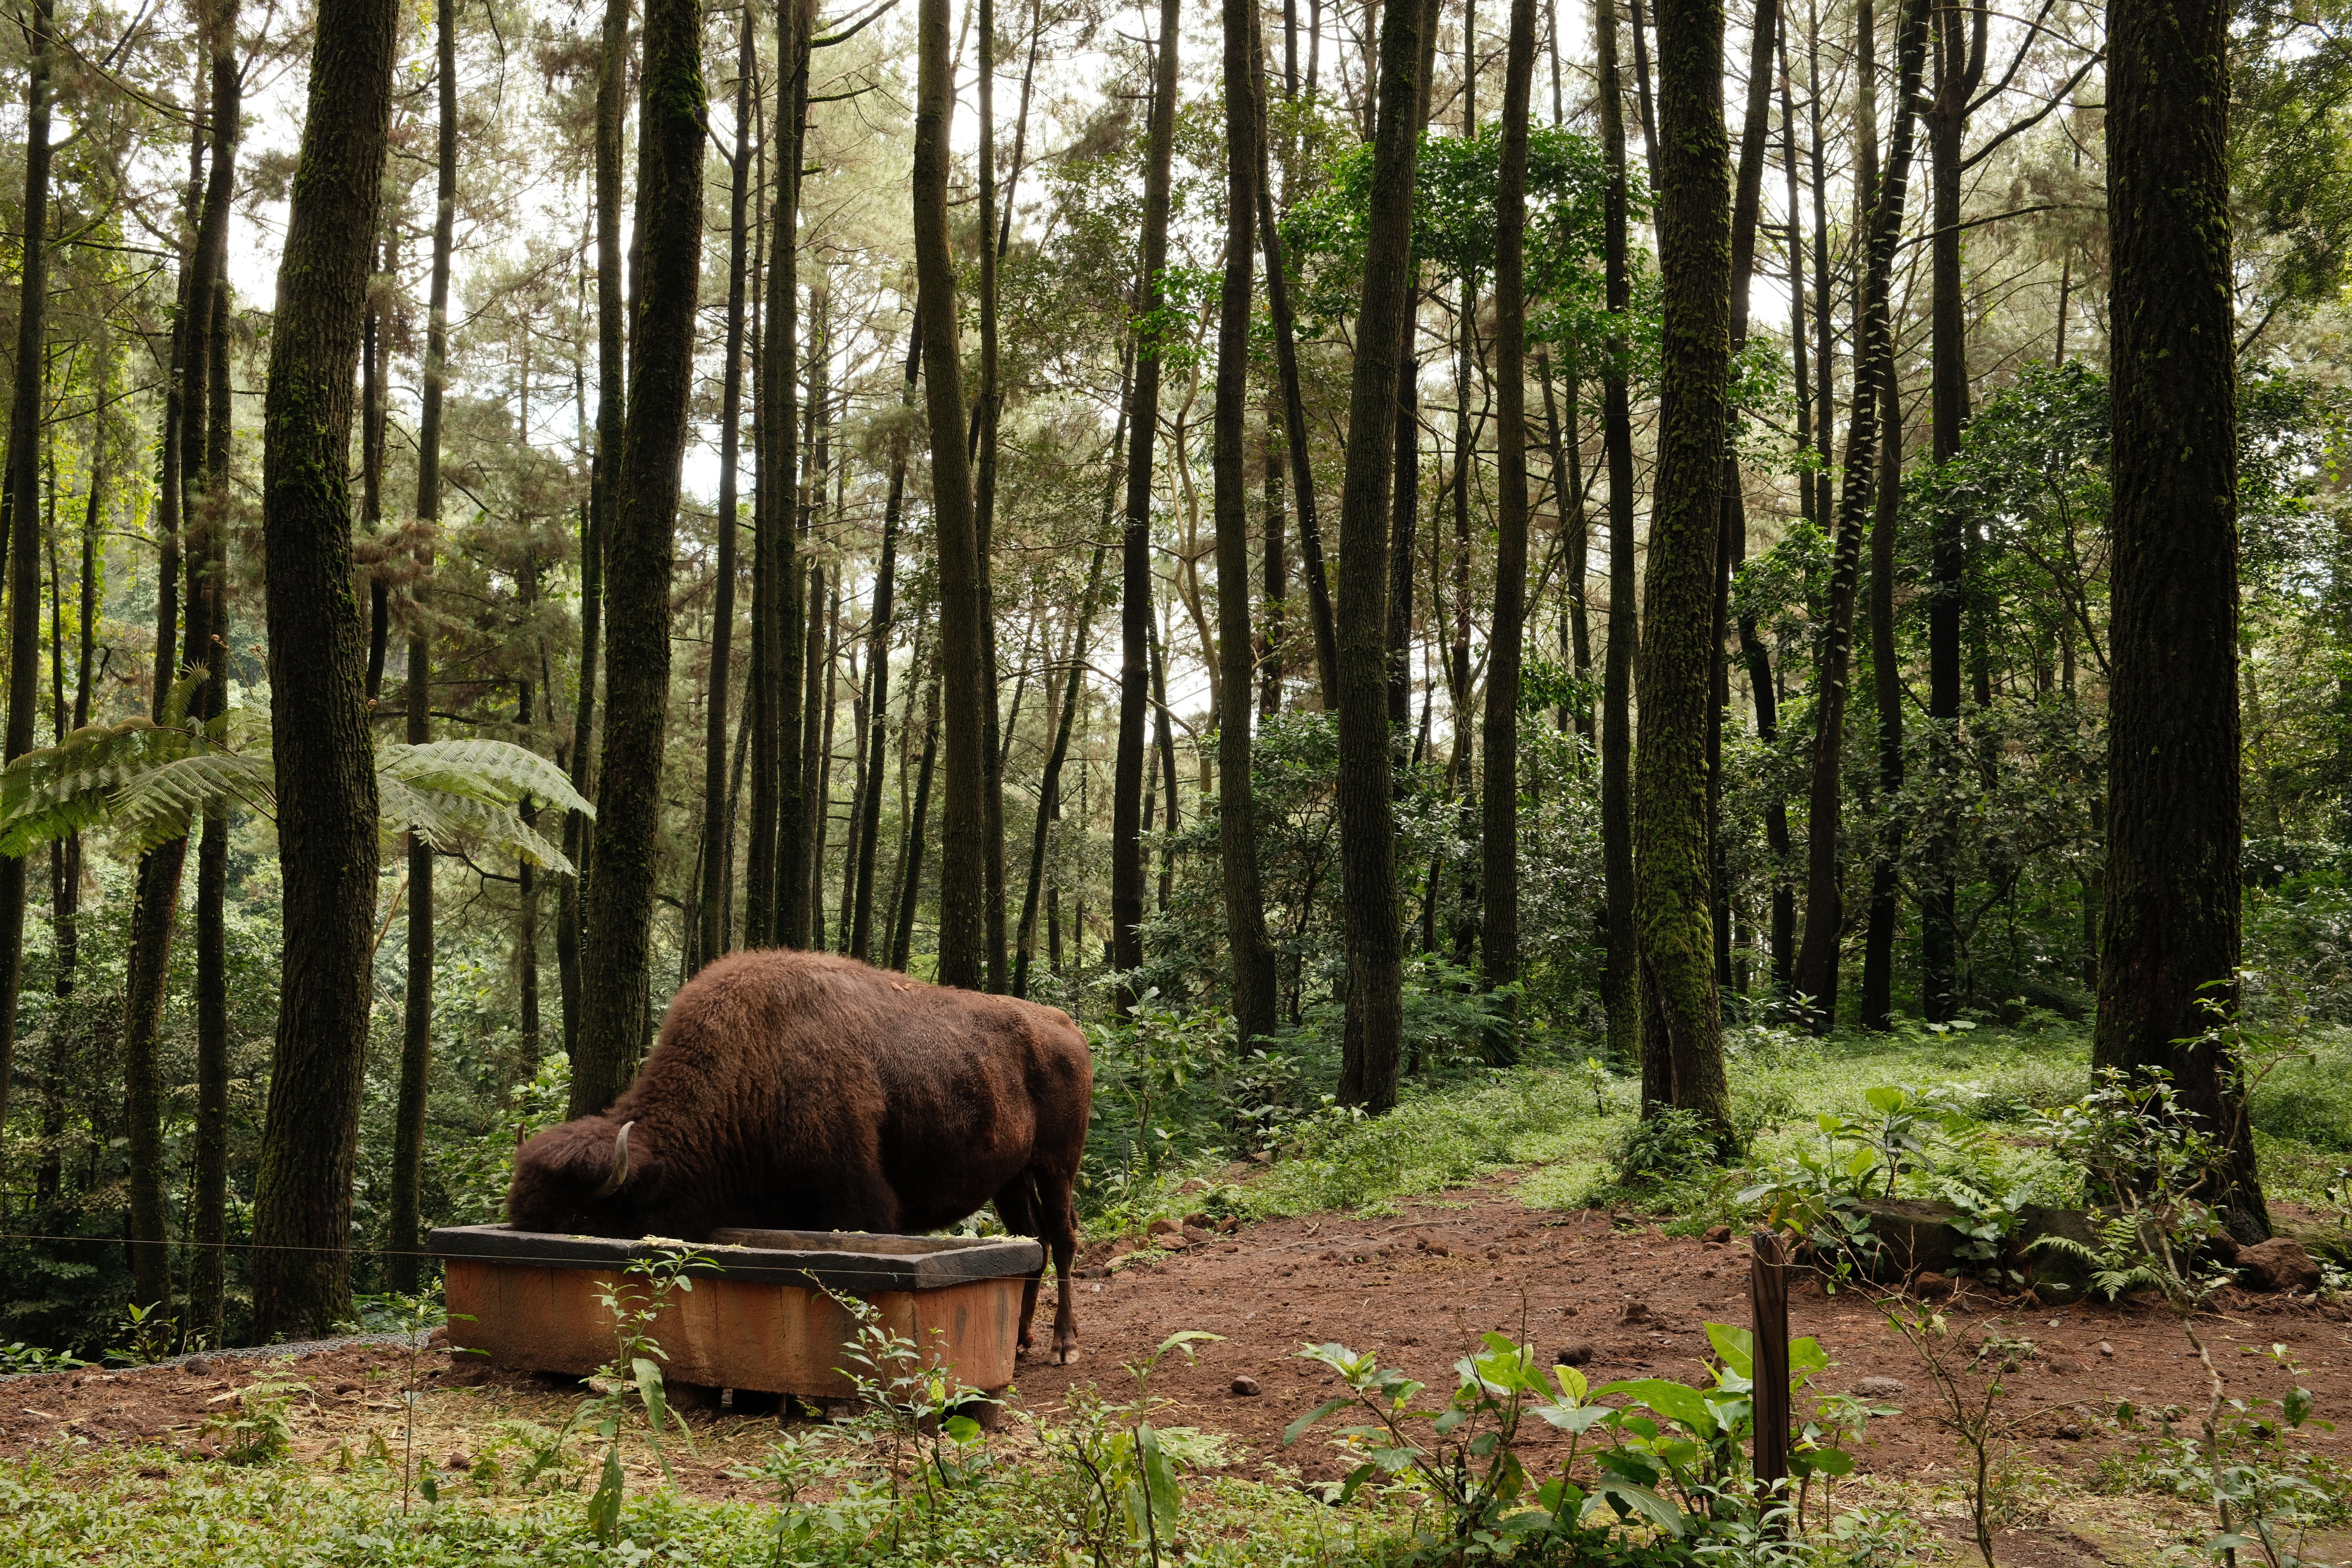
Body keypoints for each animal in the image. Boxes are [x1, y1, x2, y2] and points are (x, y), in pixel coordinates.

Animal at [508, 949, 1093, 1363]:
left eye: (580, 1219)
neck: (750, 1072)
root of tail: (1065, 1025)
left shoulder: (860, 1204)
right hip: (1010, 1179)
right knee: (1033, 1241)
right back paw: (1020, 1340)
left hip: (1057, 1164)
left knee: (1062, 1238)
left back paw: (1063, 1345)